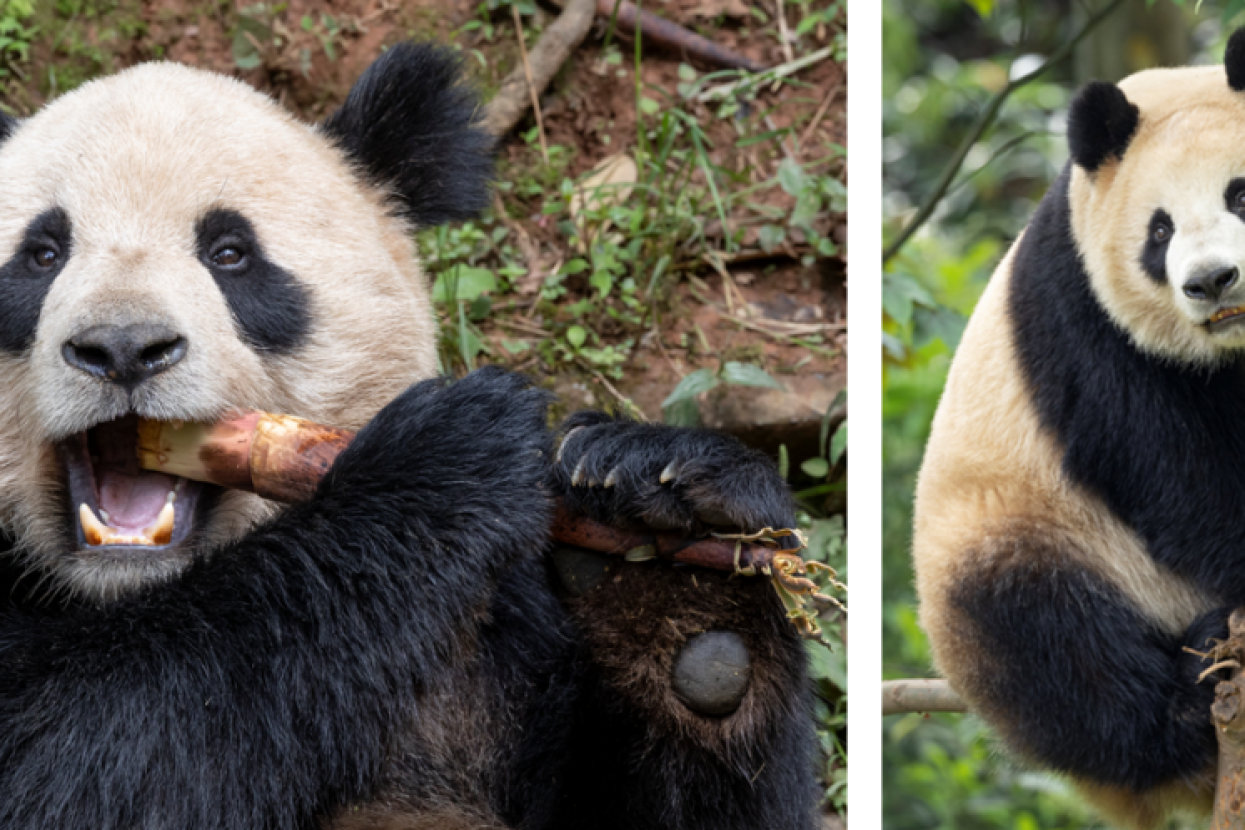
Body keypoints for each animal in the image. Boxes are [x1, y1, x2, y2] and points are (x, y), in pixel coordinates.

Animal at [0, 44, 817, 829]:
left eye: (230, 253)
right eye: (41, 255)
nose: (123, 347)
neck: (125, 593)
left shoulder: (504, 642)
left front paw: (669, 531)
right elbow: (79, 752)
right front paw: (446, 459)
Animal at [909, 27, 1245, 830]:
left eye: (1240, 192)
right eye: (1160, 230)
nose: (1212, 282)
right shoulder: (1083, 315)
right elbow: (1173, 470)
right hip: (1021, 528)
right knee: (1049, 642)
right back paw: (1188, 702)